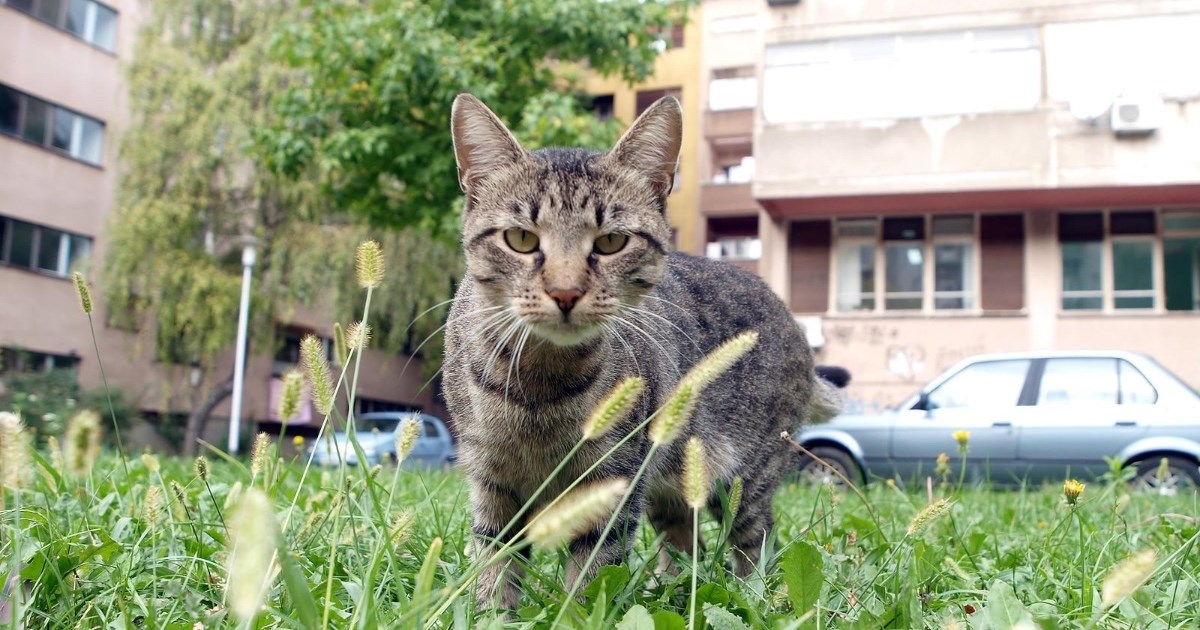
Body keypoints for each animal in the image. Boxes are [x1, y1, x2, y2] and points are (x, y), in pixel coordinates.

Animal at [444, 90, 844, 607]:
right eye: (521, 238)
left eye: (612, 241)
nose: (565, 292)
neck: (540, 388)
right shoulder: (492, 480)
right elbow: (494, 566)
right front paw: (490, 611)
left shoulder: (612, 484)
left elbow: (592, 574)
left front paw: (577, 611)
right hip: (672, 488)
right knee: (687, 544)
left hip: (744, 479)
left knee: (757, 541)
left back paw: (750, 595)